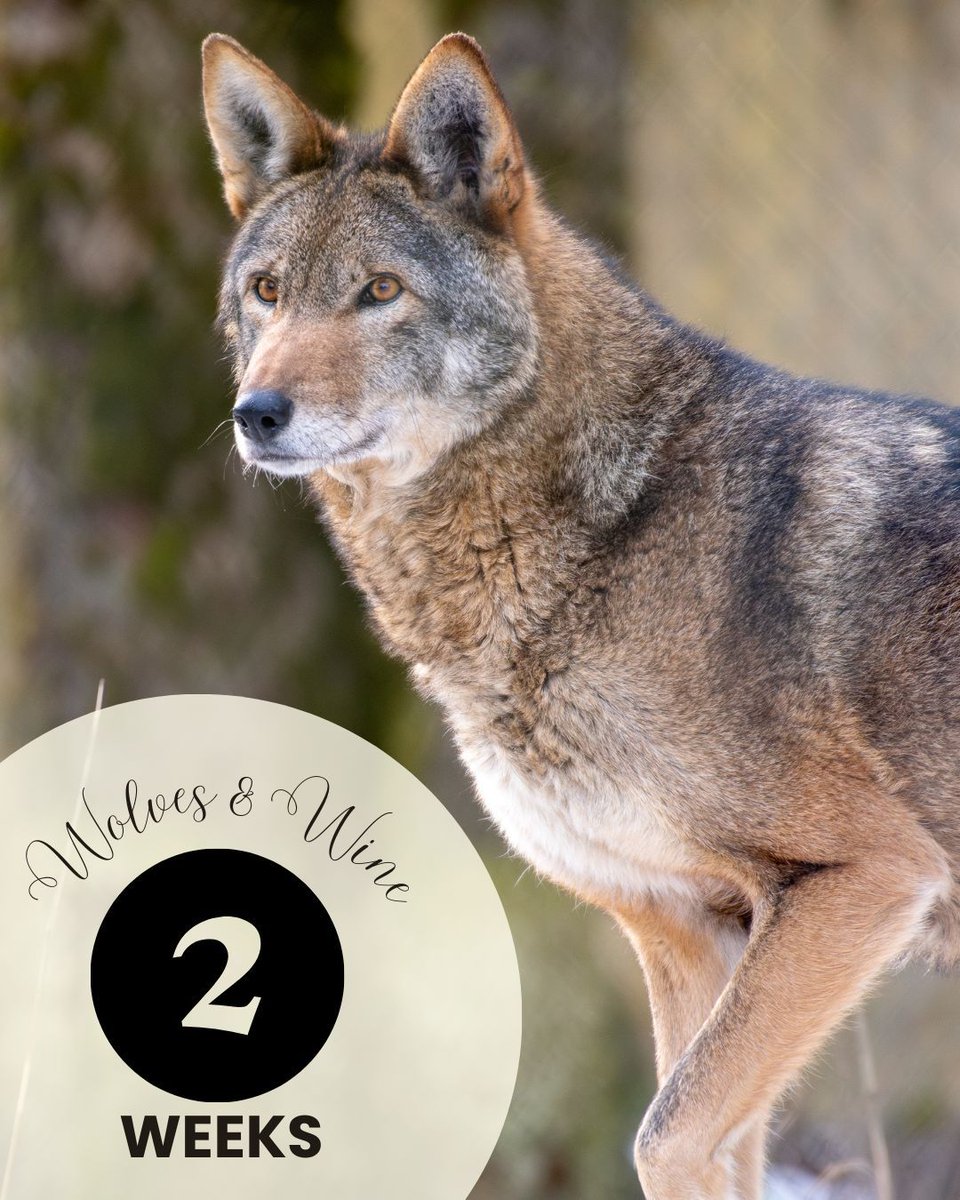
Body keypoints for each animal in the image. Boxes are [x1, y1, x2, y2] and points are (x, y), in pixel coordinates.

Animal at [202, 30, 960, 1198]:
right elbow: (703, 1142)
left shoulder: (867, 875)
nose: (258, 414)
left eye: (381, 290)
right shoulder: (686, 928)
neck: (612, 521)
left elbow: (666, 1134)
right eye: (268, 291)